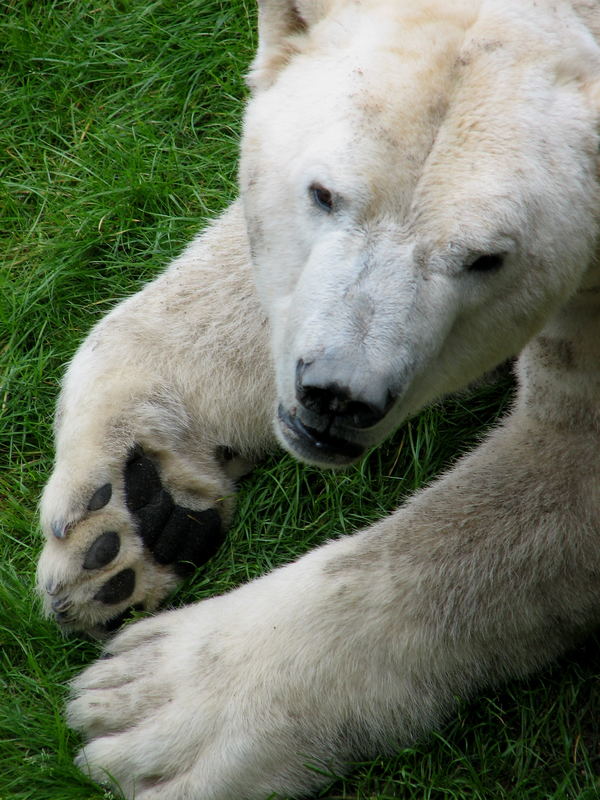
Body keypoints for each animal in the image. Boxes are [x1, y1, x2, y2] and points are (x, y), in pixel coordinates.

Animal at [37, 0, 600, 796]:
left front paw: (159, 703)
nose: (335, 396)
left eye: (488, 259)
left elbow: (547, 490)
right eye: (323, 193)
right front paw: (127, 513)